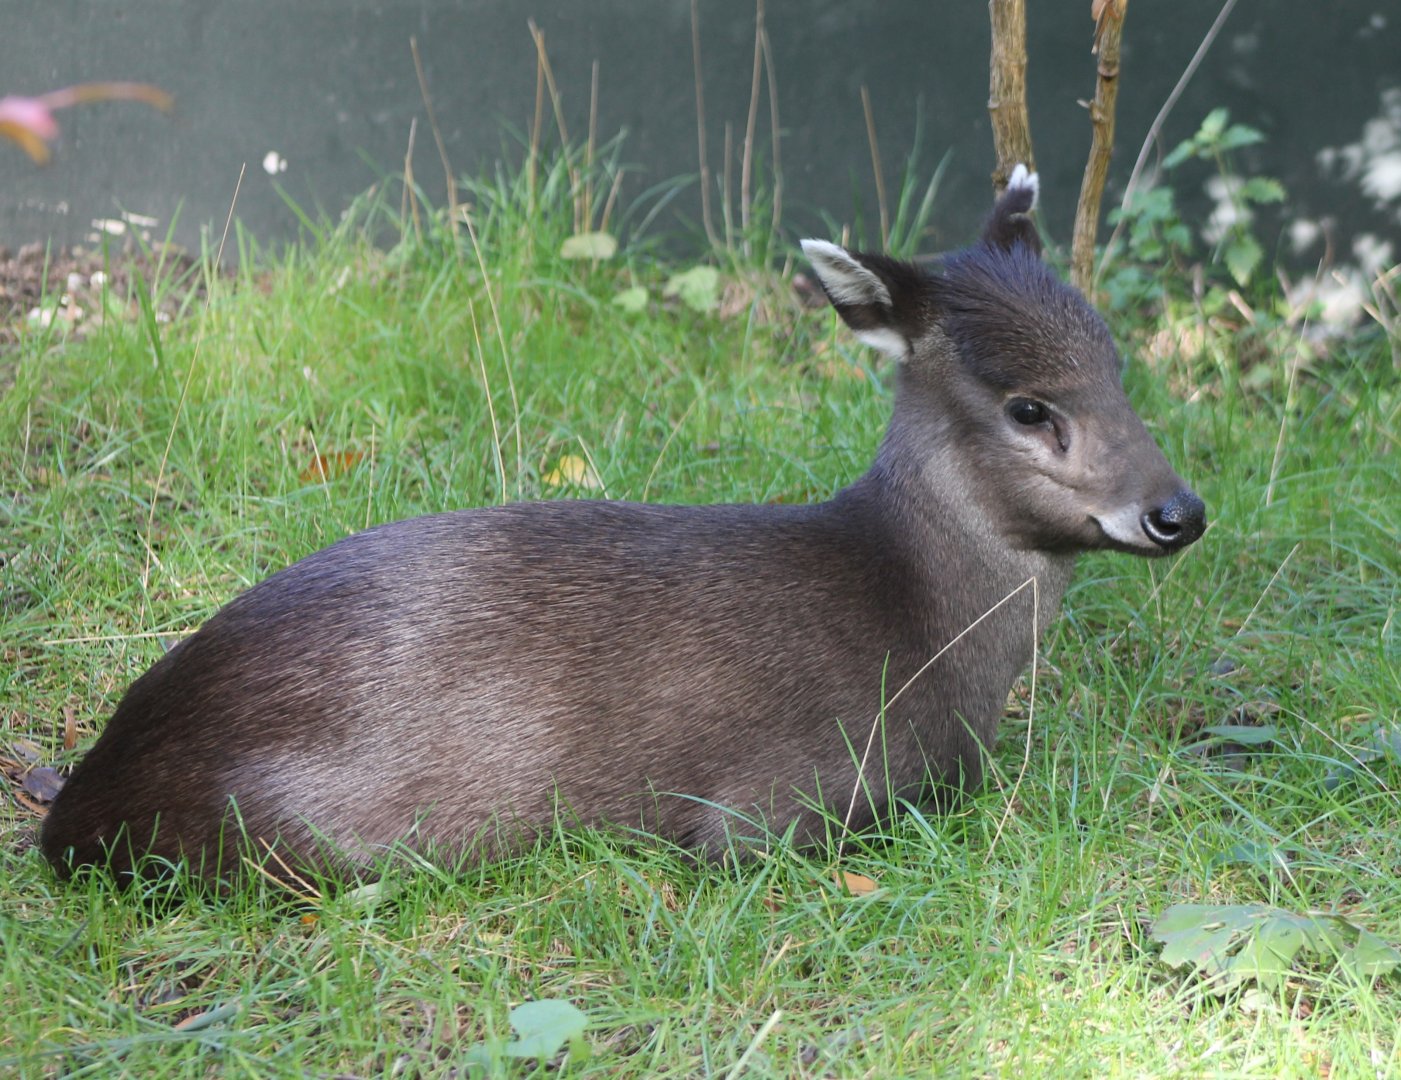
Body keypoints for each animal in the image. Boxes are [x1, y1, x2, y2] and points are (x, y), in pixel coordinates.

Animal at [40, 167, 1205, 884]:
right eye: (1028, 408)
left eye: (1117, 359)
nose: (1177, 512)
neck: (923, 626)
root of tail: (74, 813)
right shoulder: (774, 805)